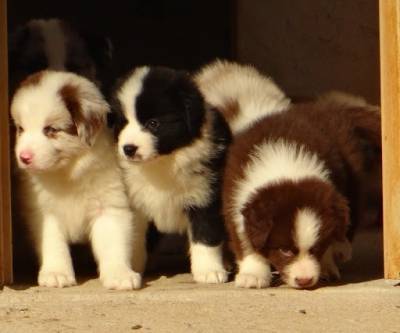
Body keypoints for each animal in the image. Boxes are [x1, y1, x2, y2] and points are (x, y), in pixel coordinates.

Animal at [10, 70, 141, 288]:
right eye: (21, 129)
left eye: (50, 130)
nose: (24, 157)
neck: (67, 173)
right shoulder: (44, 212)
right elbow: (53, 243)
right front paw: (56, 273)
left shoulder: (109, 205)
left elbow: (113, 242)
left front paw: (120, 275)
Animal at [111, 67, 231, 282]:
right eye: (123, 123)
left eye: (153, 123)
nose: (128, 149)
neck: (163, 162)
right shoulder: (136, 201)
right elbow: (135, 238)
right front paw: (132, 267)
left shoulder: (204, 195)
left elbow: (205, 235)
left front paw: (209, 271)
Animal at [222, 103, 382, 288]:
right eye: (284, 250)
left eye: (316, 248)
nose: (304, 281)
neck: (285, 166)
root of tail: (327, 108)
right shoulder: (235, 197)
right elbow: (245, 240)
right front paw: (253, 275)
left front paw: (326, 264)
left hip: (352, 174)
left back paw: (342, 248)